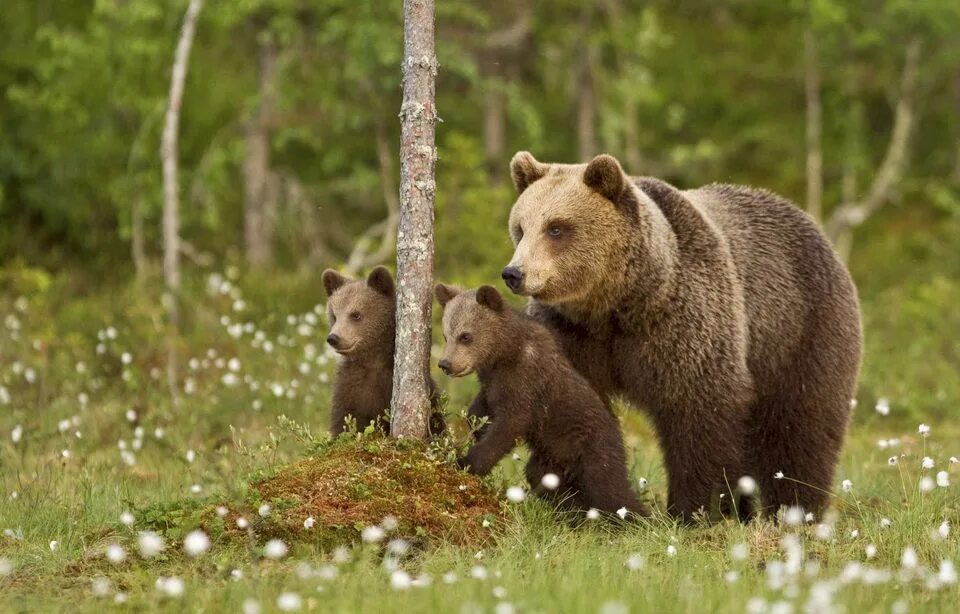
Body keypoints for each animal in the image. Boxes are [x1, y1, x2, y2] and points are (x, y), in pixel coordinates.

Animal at [502, 153, 864, 520]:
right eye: (520, 227)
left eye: (556, 228)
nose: (514, 273)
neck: (616, 305)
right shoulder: (571, 334)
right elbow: (570, 408)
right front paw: (578, 496)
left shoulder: (683, 322)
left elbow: (699, 408)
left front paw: (697, 508)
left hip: (800, 330)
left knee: (800, 425)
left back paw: (795, 510)